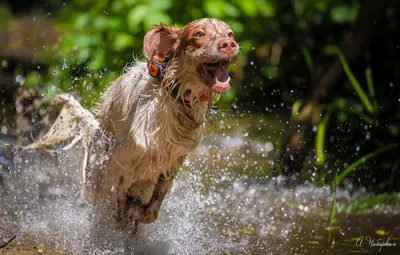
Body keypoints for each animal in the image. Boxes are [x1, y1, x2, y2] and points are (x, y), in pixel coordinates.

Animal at [30, 17, 241, 229]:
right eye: (199, 34)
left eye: (230, 33)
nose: (229, 44)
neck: (173, 102)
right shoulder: (123, 162)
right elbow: (120, 204)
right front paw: (124, 214)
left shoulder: (171, 166)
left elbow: (150, 211)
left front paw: (136, 212)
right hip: (96, 173)